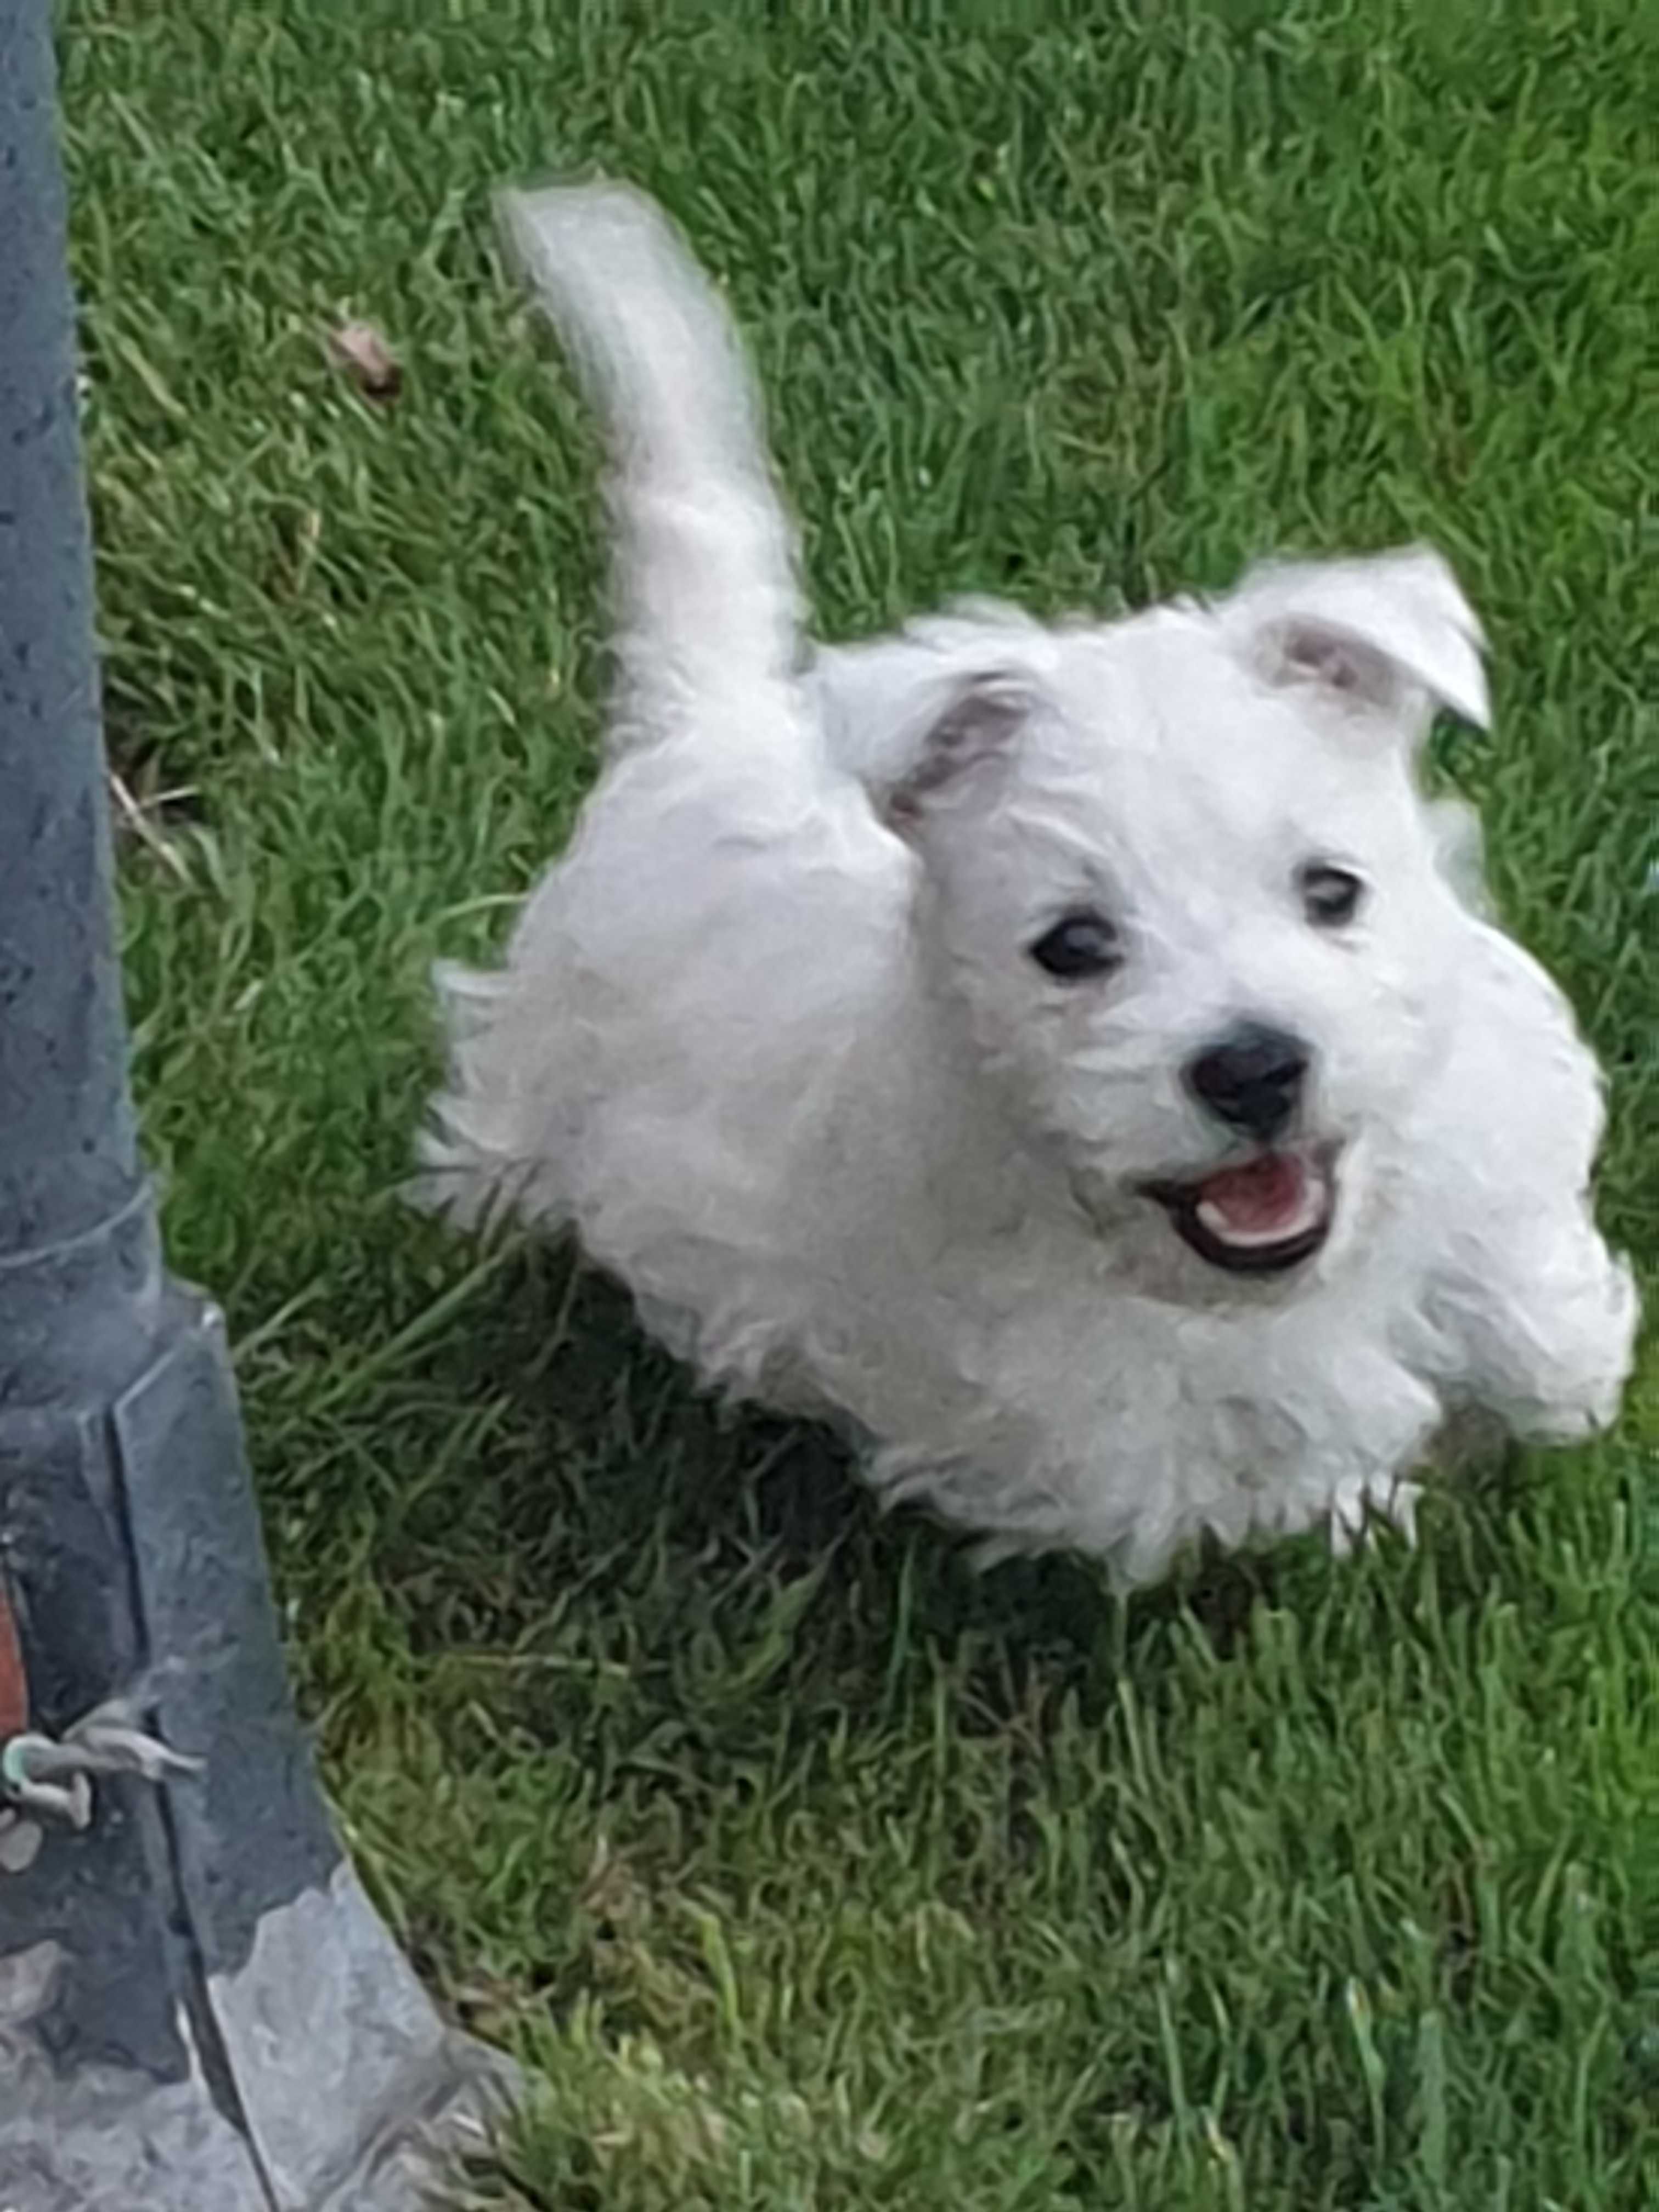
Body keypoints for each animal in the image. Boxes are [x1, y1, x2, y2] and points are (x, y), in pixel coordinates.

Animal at [416, 181, 1637, 1583]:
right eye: (1073, 945)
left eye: (1334, 891)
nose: (1256, 1069)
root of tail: (701, 717)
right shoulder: (1099, 1415)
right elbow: (1267, 1449)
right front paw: (1362, 1503)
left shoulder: (1486, 1132)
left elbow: (1530, 1310)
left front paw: (1552, 1368)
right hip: (540, 1050)